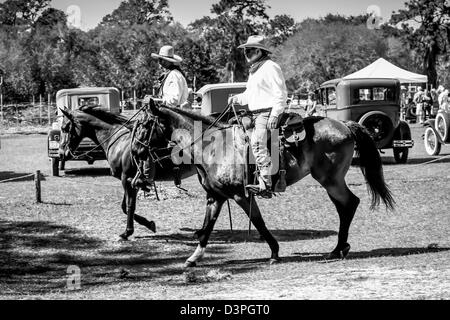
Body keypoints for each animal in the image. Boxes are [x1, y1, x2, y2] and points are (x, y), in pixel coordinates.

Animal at [58, 105, 157, 240]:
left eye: (64, 128)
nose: (61, 153)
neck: (115, 139)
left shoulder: (126, 178)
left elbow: (129, 205)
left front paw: (128, 232)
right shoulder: (130, 181)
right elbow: (124, 206)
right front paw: (149, 224)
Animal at [134, 101, 394, 266]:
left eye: (145, 125)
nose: (136, 150)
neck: (212, 146)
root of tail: (345, 125)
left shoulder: (240, 195)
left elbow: (257, 221)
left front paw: (275, 252)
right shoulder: (215, 196)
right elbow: (207, 227)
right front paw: (193, 258)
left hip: (330, 179)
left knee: (349, 203)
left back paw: (338, 248)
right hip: (331, 181)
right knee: (345, 206)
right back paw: (339, 248)